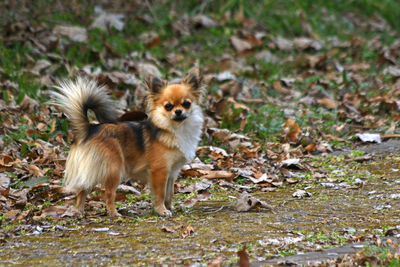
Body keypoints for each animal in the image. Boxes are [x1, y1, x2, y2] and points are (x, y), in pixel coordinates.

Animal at [51, 69, 205, 218]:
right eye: (168, 106)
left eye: (186, 104)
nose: (178, 111)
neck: (175, 129)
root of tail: (90, 129)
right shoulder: (160, 171)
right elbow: (160, 194)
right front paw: (162, 210)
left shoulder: (172, 172)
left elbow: (169, 193)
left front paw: (169, 207)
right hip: (114, 169)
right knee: (108, 194)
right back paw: (113, 214)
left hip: (92, 169)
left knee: (82, 191)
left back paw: (79, 212)